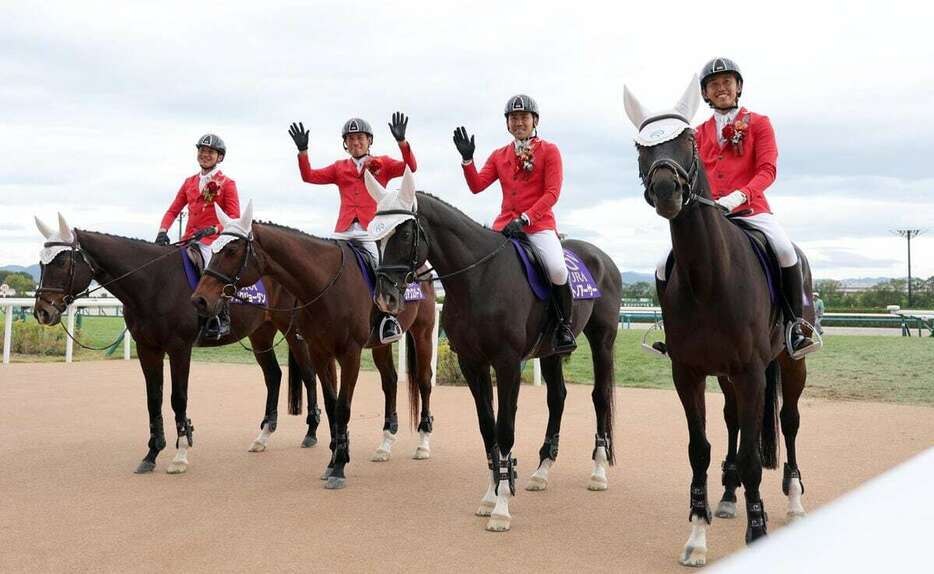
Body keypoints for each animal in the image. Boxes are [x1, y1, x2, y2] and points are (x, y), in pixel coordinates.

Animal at [32, 216, 322, 476]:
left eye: (62, 261)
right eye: (41, 262)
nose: (42, 312)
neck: (153, 282)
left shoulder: (179, 348)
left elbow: (177, 398)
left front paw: (180, 454)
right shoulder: (147, 349)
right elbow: (154, 398)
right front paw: (152, 453)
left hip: (294, 333)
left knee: (309, 375)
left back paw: (311, 432)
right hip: (260, 334)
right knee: (273, 375)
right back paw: (263, 436)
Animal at [192, 202, 440, 490]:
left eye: (231, 251)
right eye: (214, 250)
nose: (199, 299)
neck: (325, 284)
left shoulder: (350, 354)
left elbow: (343, 406)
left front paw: (340, 466)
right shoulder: (321, 352)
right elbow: (332, 405)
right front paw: (333, 460)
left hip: (422, 333)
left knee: (424, 381)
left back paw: (423, 443)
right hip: (379, 344)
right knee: (389, 381)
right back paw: (385, 443)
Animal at [364, 171, 620, 536]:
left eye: (405, 233)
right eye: (377, 237)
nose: (385, 298)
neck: (479, 277)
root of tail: (600, 256)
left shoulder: (508, 364)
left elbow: (505, 427)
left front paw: (501, 508)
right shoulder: (472, 364)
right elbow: (488, 427)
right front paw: (490, 496)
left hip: (603, 340)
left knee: (599, 397)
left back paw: (598, 473)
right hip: (551, 352)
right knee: (557, 397)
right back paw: (542, 471)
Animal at [624, 77, 816, 568]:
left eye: (688, 140)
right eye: (640, 147)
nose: (667, 190)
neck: (710, 275)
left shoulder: (751, 373)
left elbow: (752, 454)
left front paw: (758, 530)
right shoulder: (689, 374)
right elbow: (700, 450)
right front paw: (697, 535)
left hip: (791, 363)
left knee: (789, 422)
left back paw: (793, 499)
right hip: (728, 376)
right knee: (732, 421)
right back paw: (729, 496)